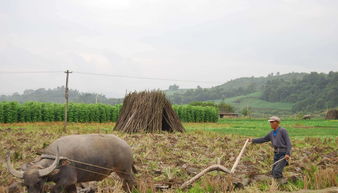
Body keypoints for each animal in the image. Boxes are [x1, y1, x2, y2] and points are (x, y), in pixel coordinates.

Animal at [6, 134, 136, 193]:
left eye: (39, 182)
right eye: (26, 185)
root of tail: (127, 146)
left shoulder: (67, 181)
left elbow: (53, 190)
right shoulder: (71, 184)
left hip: (124, 171)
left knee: (131, 182)